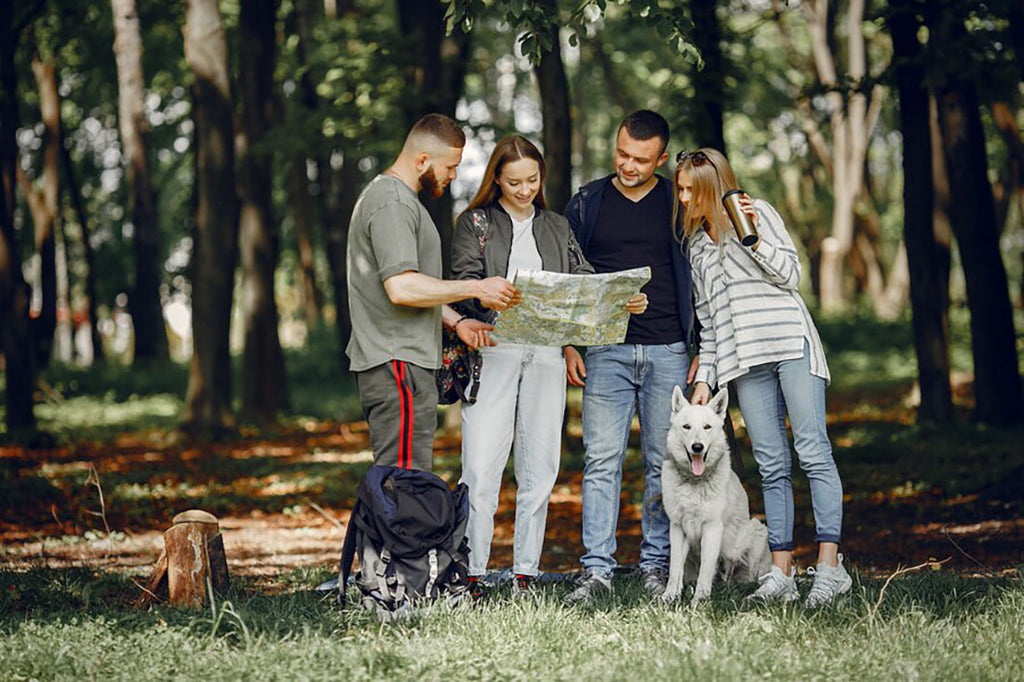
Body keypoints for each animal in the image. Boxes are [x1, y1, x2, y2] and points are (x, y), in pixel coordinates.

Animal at [663, 385, 770, 602]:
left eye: (707, 427)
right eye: (686, 427)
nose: (697, 447)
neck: (694, 482)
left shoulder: (712, 528)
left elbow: (706, 568)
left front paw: (699, 600)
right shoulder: (678, 528)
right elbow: (674, 568)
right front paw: (669, 597)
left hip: (755, 532)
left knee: (739, 573)